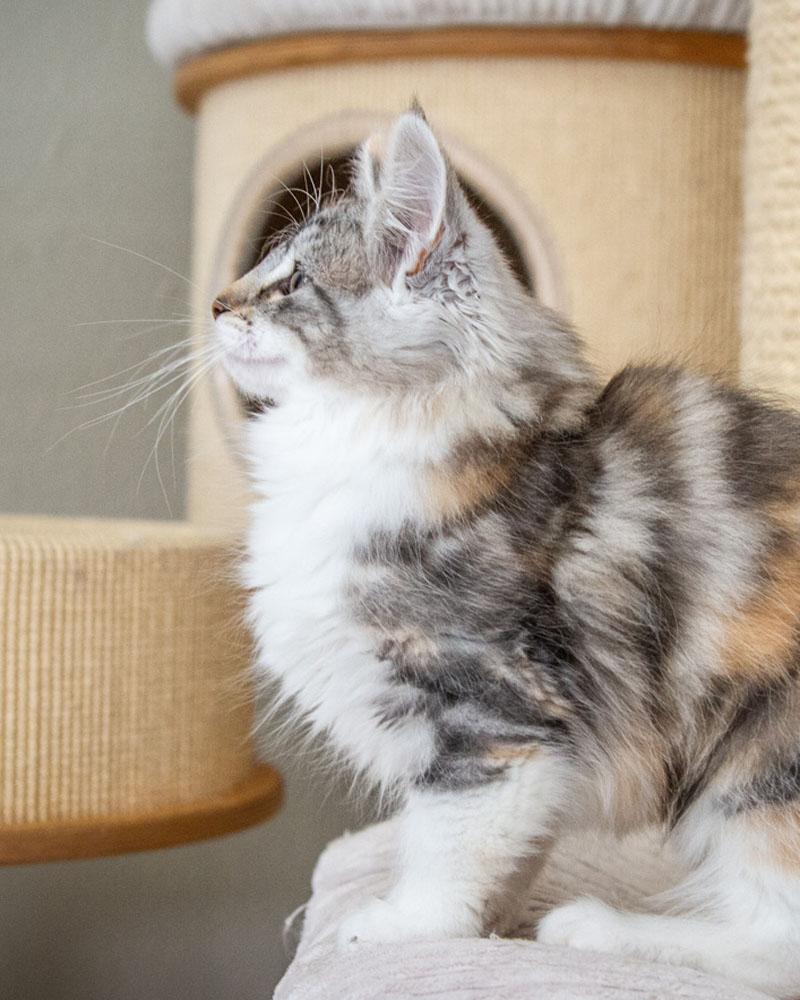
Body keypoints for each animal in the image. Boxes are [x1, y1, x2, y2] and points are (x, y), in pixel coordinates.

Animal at [212, 106, 800, 997]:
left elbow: (448, 841)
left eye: (290, 283)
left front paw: (403, 928)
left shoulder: (492, 706)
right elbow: (513, 847)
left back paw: (599, 930)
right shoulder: (528, 750)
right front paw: (491, 926)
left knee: (777, 941)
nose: (215, 304)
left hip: (760, 761)